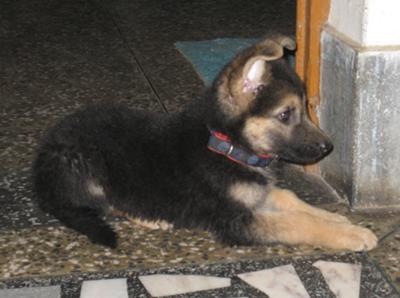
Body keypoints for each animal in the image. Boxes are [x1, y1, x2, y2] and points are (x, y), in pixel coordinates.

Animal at [32, 34, 376, 249]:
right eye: (285, 114)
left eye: (304, 108)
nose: (327, 148)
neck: (227, 146)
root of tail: (41, 166)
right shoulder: (234, 220)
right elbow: (298, 224)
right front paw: (352, 233)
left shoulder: (257, 193)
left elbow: (294, 201)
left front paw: (334, 217)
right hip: (83, 165)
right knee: (107, 203)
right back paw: (151, 218)